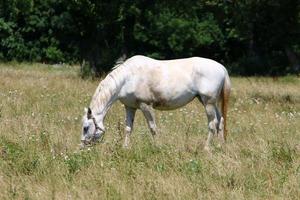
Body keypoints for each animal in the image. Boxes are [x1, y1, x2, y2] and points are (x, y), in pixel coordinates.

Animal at [79, 54, 230, 150]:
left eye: (86, 127)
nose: (82, 147)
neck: (128, 78)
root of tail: (222, 68)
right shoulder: (130, 107)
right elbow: (128, 128)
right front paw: (125, 148)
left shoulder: (146, 106)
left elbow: (153, 128)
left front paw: (157, 147)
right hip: (210, 103)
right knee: (220, 121)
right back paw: (220, 146)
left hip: (208, 103)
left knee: (212, 124)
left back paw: (206, 148)